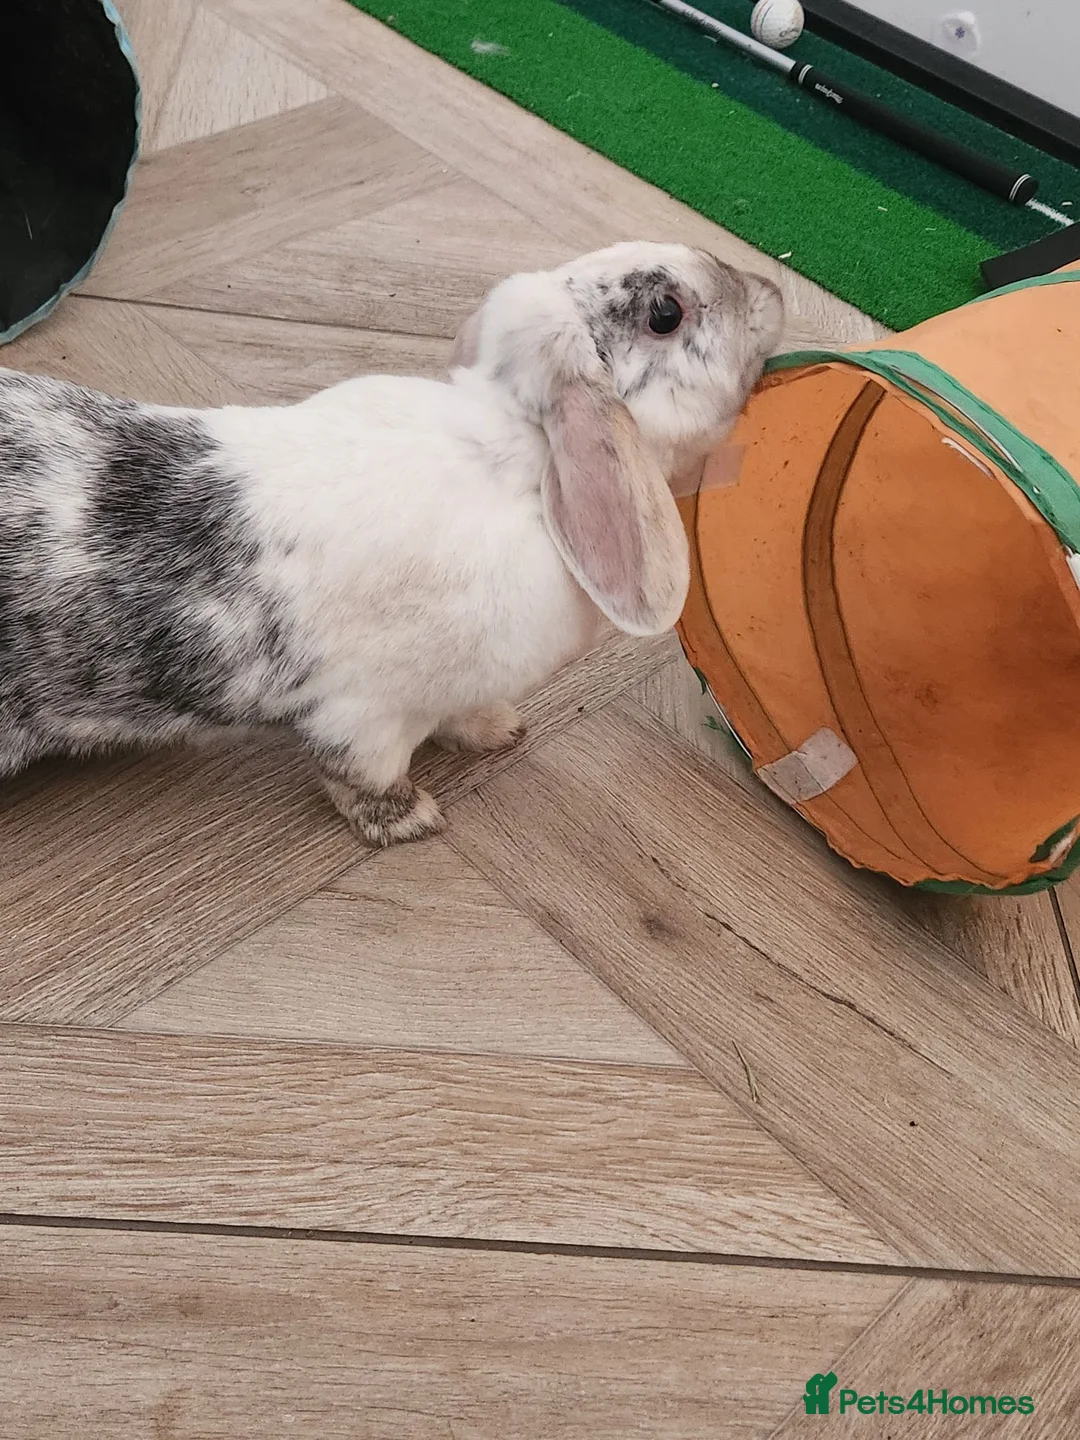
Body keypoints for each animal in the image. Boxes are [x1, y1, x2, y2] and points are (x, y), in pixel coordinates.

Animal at [0, 241, 782, 846]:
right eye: (665, 314)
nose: (771, 289)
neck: (515, 461)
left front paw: (496, 728)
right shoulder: (365, 714)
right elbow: (359, 775)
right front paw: (412, 820)